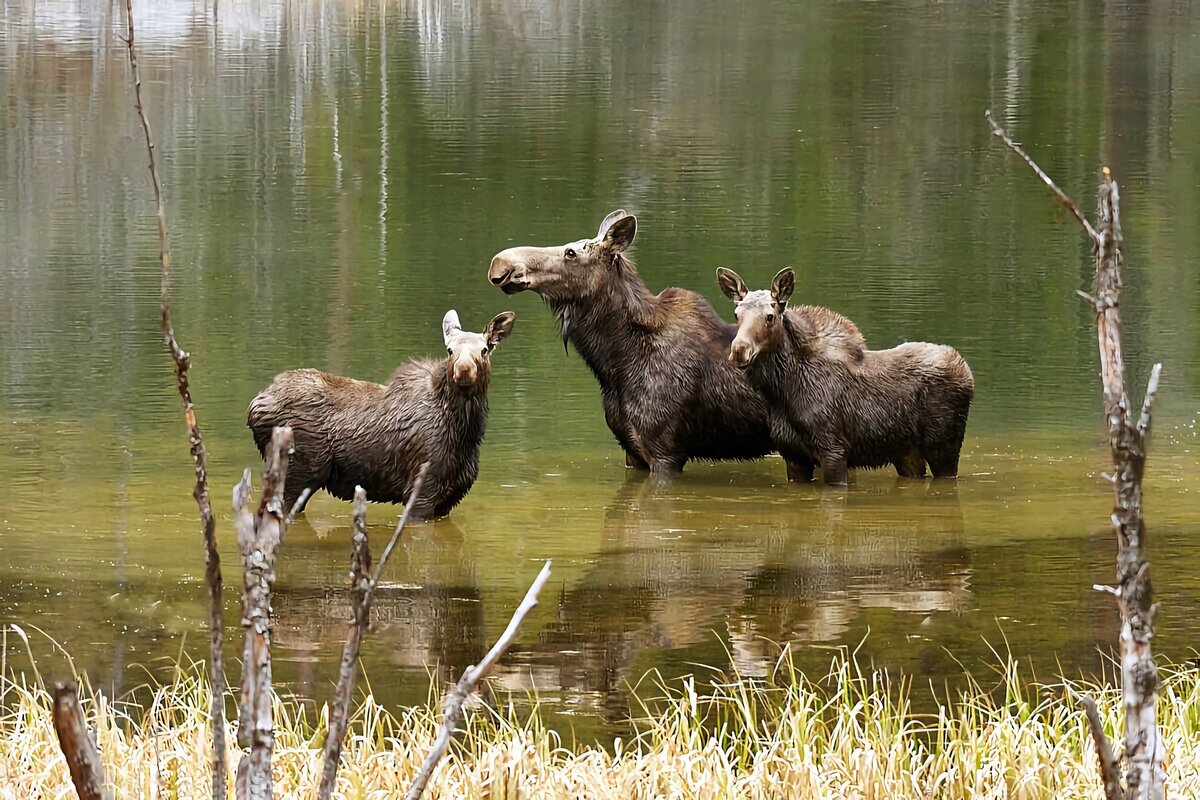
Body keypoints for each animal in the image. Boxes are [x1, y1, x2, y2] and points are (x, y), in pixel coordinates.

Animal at [248, 307, 516, 520]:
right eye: (450, 350)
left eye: (485, 349)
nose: (464, 370)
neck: (466, 433)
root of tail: (255, 406)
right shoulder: (420, 491)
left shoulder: (450, 499)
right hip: (298, 473)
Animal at [715, 266, 969, 484]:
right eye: (737, 313)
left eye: (769, 315)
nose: (739, 350)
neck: (781, 391)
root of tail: (966, 369)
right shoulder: (793, 455)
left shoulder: (834, 451)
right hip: (907, 453)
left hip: (944, 447)